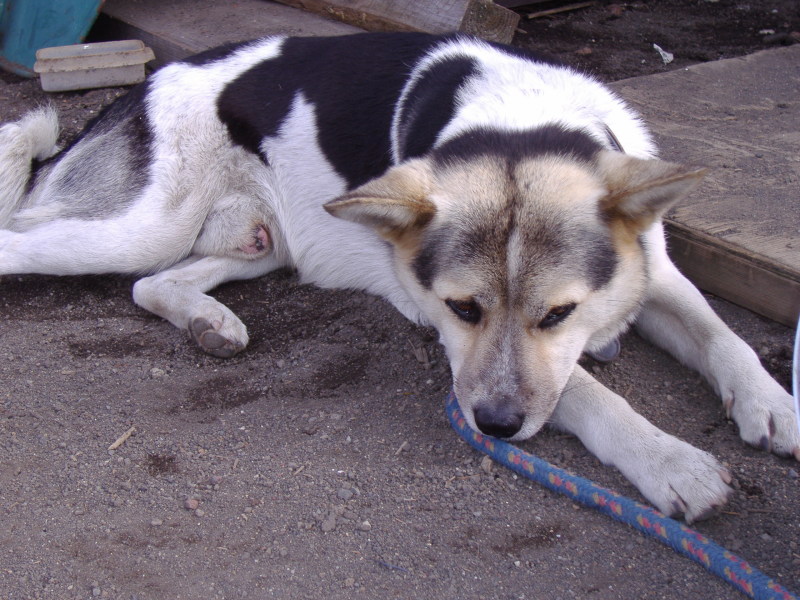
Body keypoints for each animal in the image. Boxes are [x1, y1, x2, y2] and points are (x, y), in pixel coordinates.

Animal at [0, 32, 796, 520]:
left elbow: (721, 334)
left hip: (264, 241)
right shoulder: (454, 341)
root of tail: (144, 85)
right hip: (142, 225)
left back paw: (209, 322)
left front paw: (772, 403)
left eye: (558, 314)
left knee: (153, 282)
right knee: (26, 242)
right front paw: (669, 460)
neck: (518, 119)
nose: (494, 428)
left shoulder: (652, 273)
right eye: (464, 309)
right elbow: (587, 394)